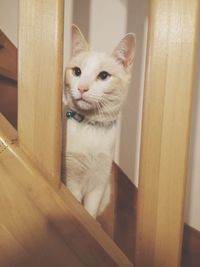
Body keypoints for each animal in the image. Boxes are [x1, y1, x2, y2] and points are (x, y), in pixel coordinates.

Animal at [61, 24, 135, 219]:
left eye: (103, 75)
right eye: (77, 72)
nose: (82, 88)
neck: (90, 127)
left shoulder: (99, 183)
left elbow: (90, 213)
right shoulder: (71, 179)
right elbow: (77, 207)